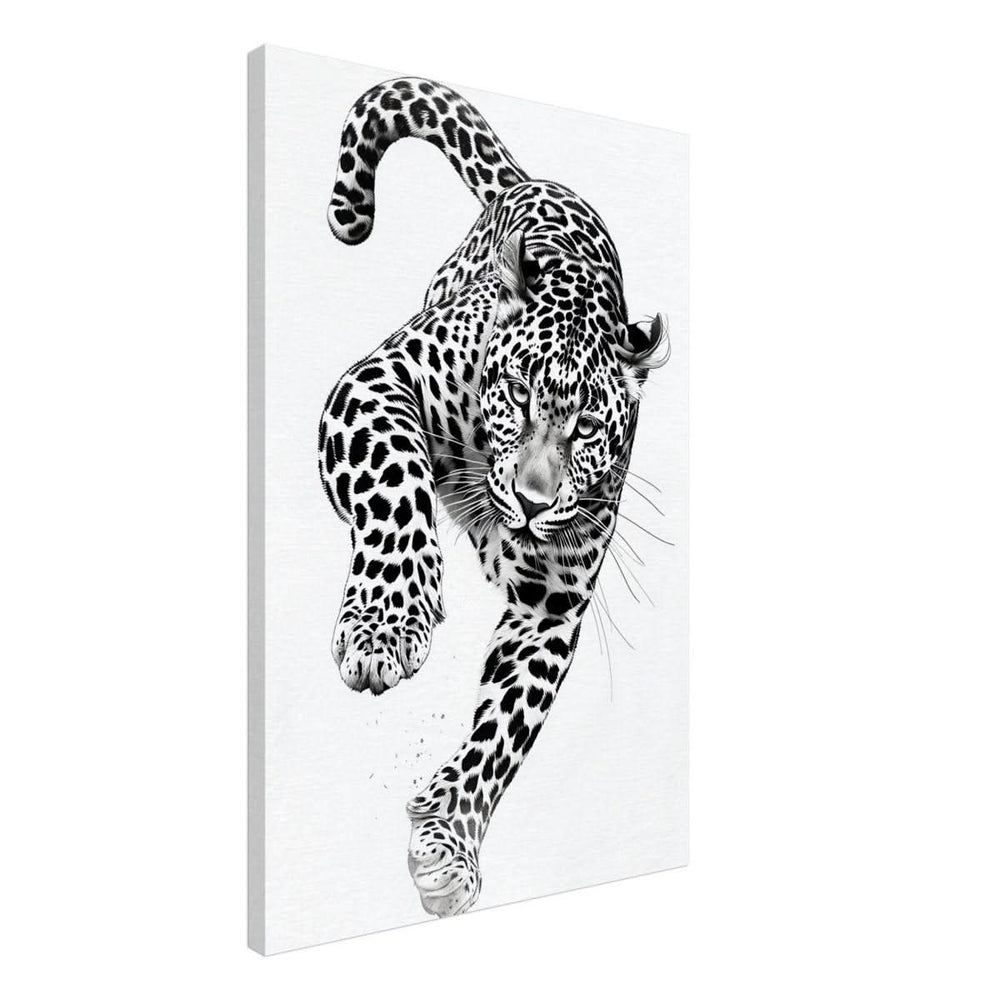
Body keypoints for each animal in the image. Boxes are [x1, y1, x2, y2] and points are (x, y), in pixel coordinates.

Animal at [319, 77, 671, 918]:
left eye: (588, 428)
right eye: (516, 393)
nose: (535, 502)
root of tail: (535, 180)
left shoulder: (550, 604)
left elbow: (504, 730)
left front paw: (448, 840)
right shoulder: (375, 383)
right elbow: (394, 482)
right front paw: (387, 625)